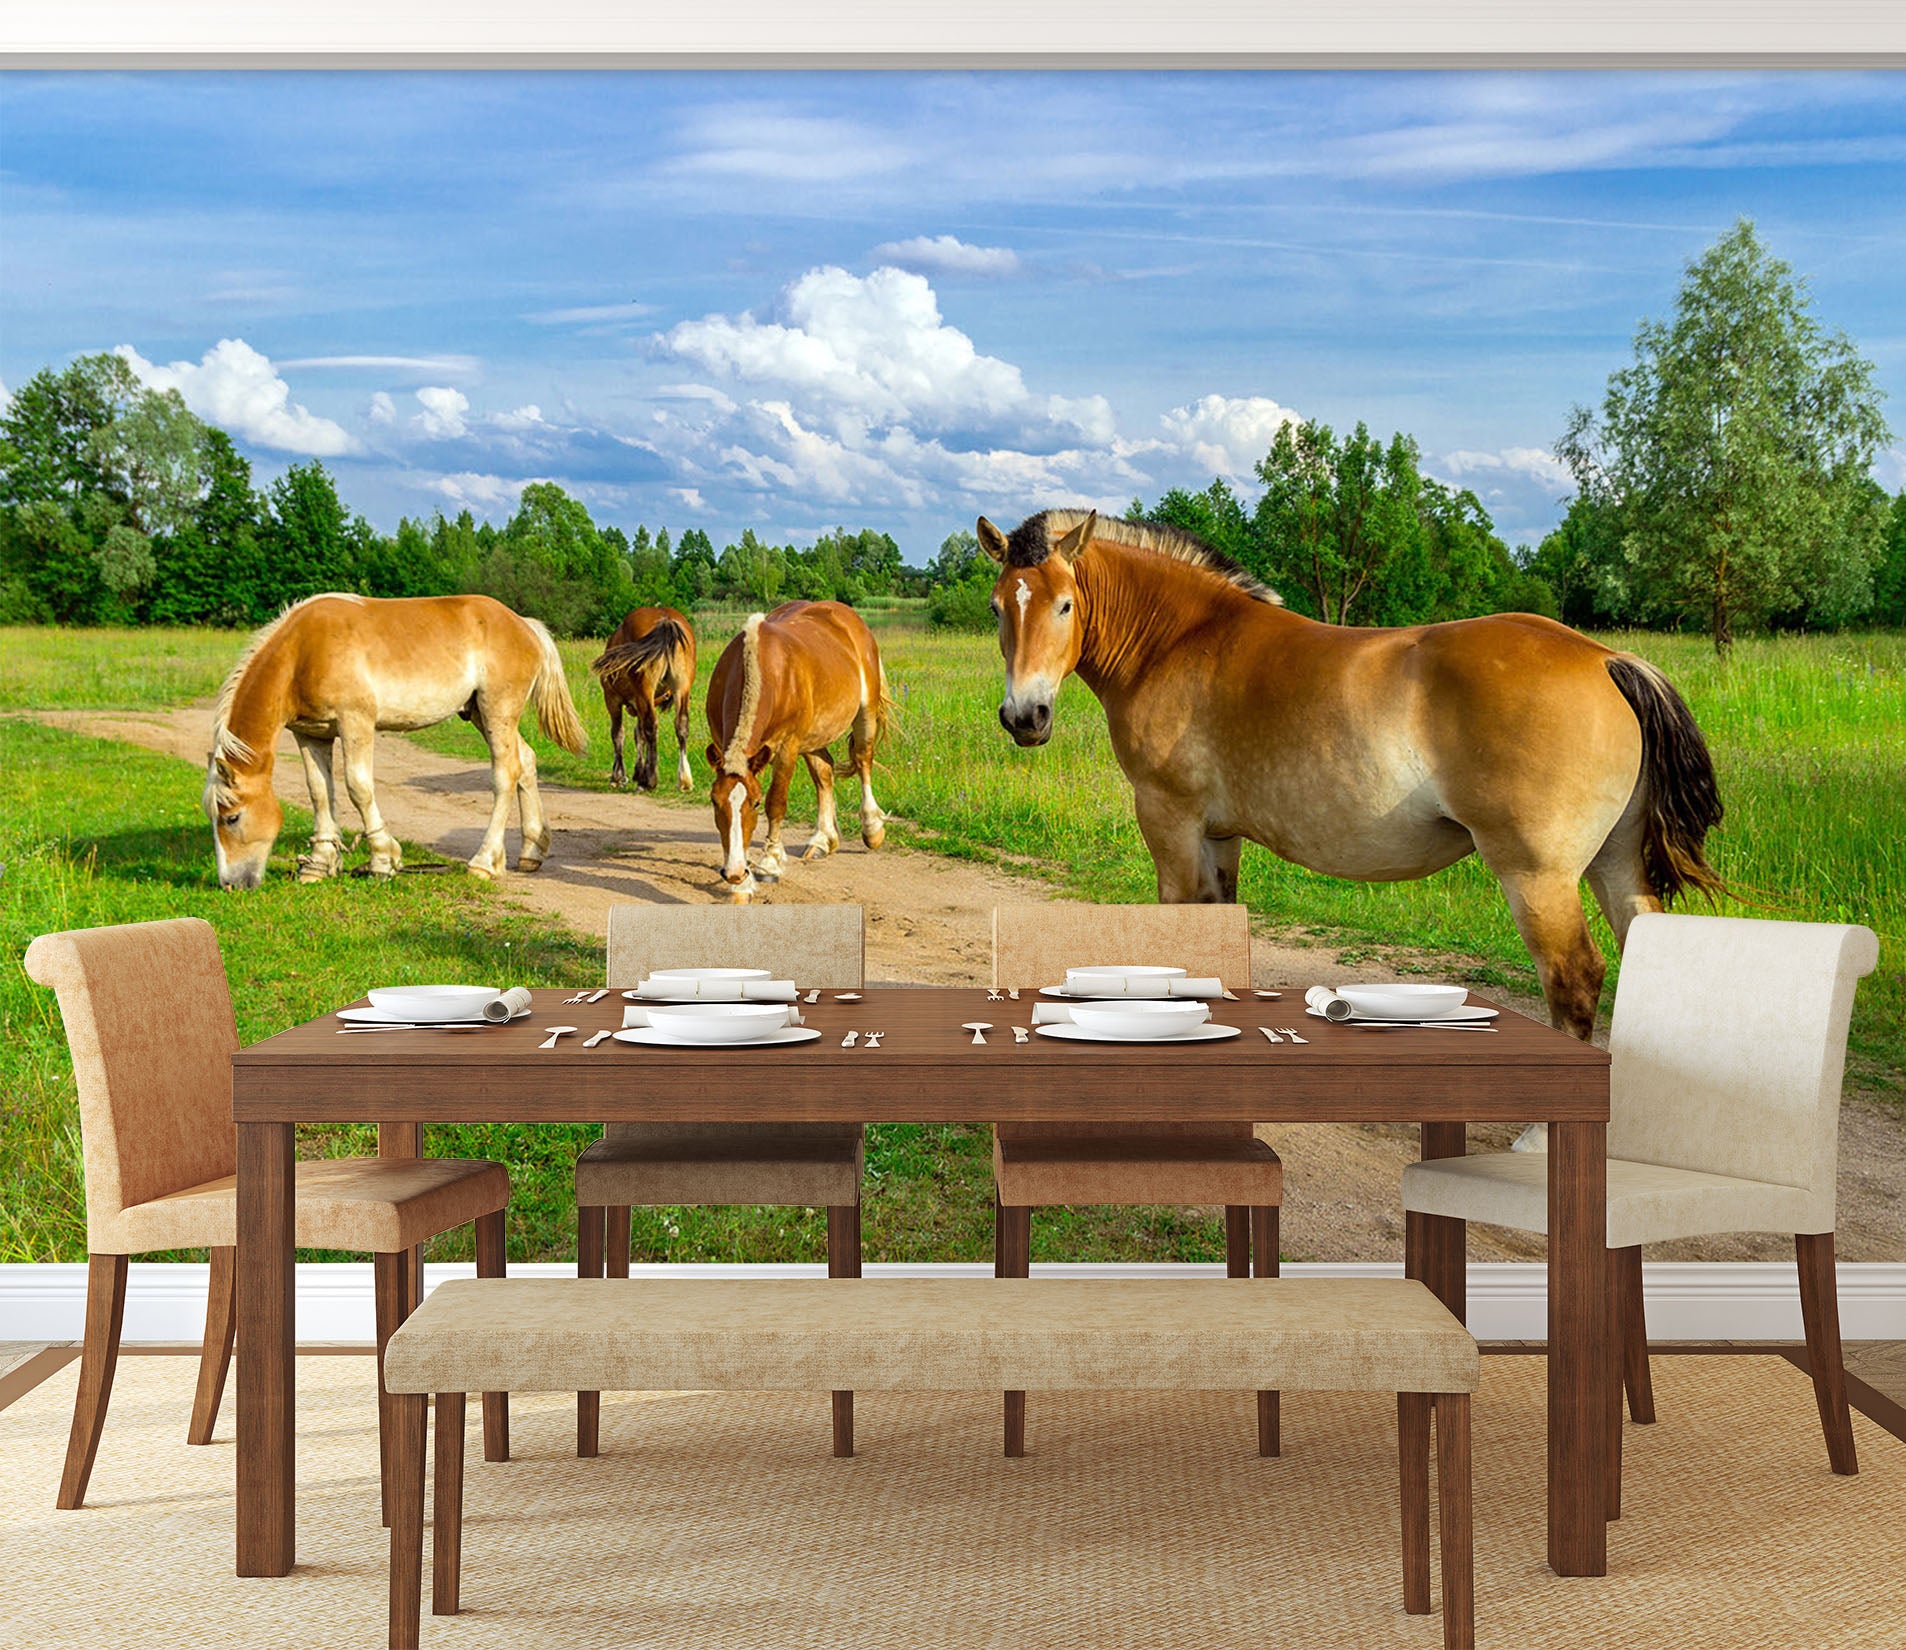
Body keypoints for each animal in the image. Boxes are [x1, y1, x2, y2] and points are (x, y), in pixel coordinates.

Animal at [203, 592, 587, 889]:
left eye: (232, 818)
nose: (230, 884)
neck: (302, 652)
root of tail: (524, 624)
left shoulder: (355, 723)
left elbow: (358, 787)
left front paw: (382, 861)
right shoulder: (311, 734)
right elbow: (319, 792)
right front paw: (319, 865)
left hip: (498, 710)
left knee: (505, 774)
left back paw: (483, 862)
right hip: (481, 713)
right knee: (526, 762)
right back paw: (531, 852)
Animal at [590, 605, 697, 792]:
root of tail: (666, 620)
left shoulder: (612, 699)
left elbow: (619, 733)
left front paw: (618, 776)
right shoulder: (641, 703)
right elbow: (639, 735)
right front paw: (639, 771)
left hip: (643, 690)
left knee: (650, 726)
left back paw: (650, 781)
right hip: (682, 688)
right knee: (681, 725)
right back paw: (684, 779)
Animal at [704, 600, 894, 902]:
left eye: (755, 803)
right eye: (714, 801)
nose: (733, 872)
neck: (766, 672)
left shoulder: (786, 747)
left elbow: (776, 802)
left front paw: (769, 862)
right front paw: (741, 884)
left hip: (866, 712)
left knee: (863, 761)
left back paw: (872, 829)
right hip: (814, 736)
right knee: (824, 774)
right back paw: (822, 840)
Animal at [979, 509, 1723, 1044]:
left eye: (1065, 605)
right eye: (997, 607)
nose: (1024, 716)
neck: (1181, 640)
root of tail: (1604, 658)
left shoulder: (1170, 820)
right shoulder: (1219, 834)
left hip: (1538, 877)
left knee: (1574, 979)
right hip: (1615, 863)